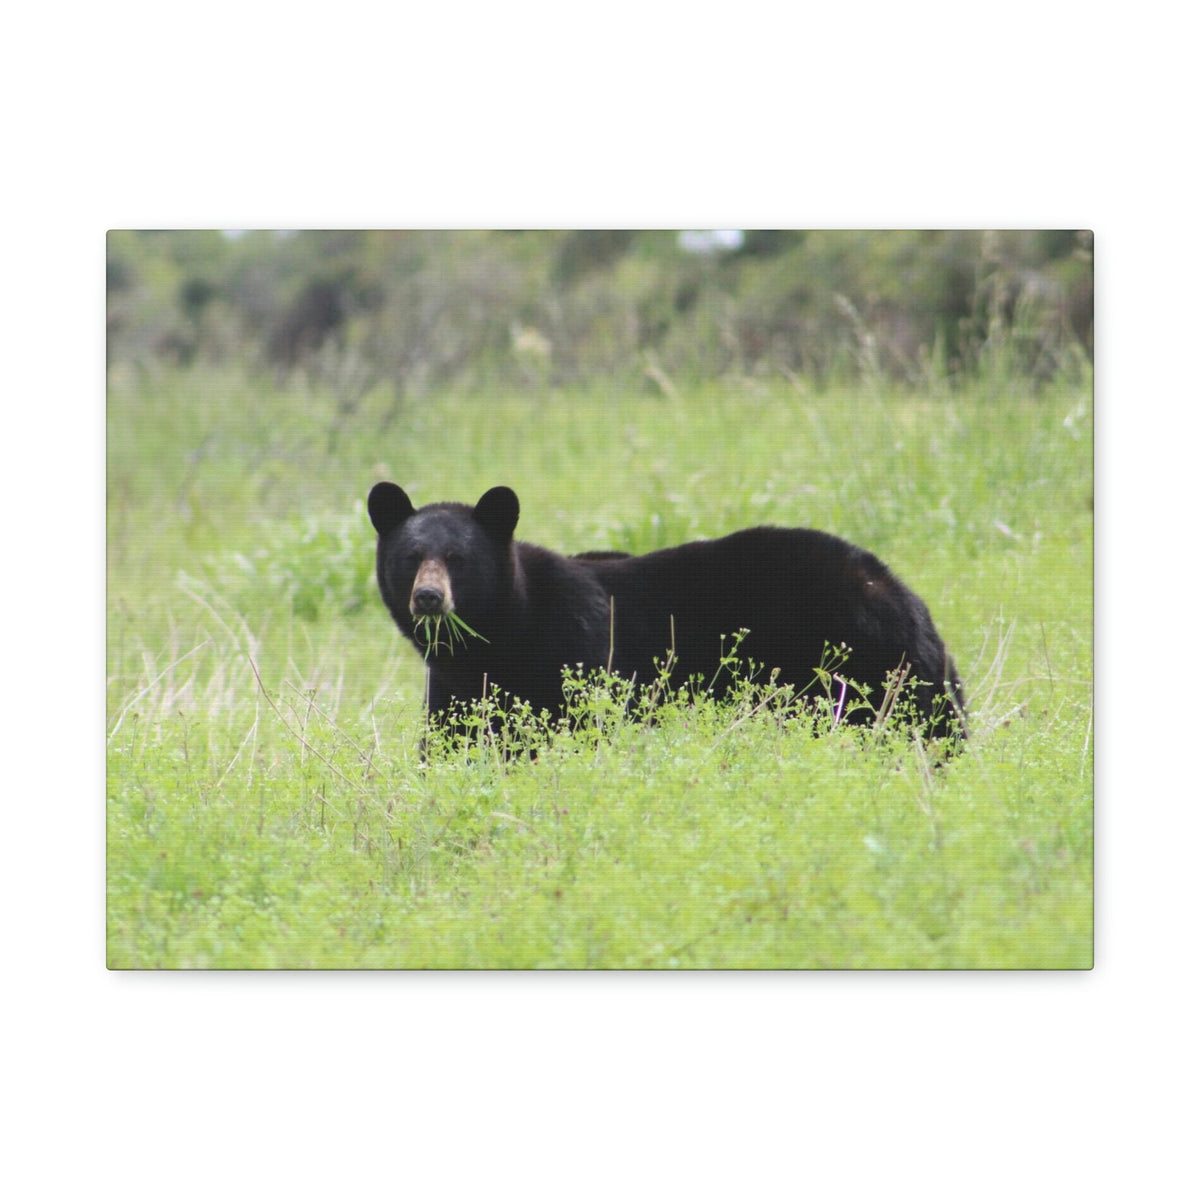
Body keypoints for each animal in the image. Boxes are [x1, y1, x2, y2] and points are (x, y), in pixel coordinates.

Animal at [367, 483, 966, 742]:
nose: (429, 597)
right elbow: (455, 740)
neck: (503, 634)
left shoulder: (578, 648)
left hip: (860, 662)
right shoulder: (455, 683)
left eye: (459, 559)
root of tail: (899, 590)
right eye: (411, 556)